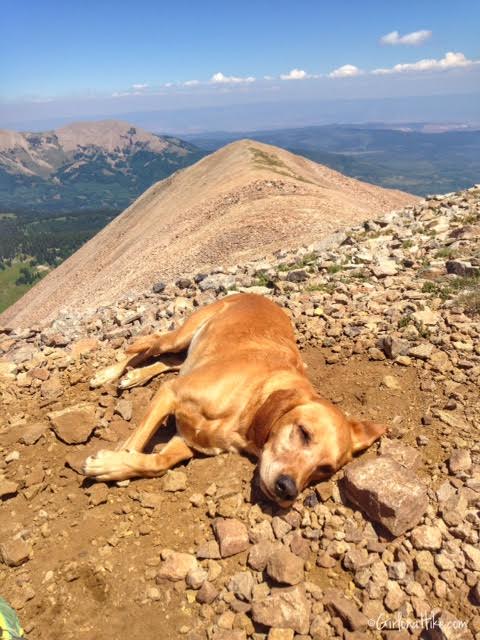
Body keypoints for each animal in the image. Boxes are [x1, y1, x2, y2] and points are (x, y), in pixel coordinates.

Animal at [81, 294, 382, 504]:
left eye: (324, 469)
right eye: (304, 432)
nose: (287, 490)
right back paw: (109, 373)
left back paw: (134, 377)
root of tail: (260, 295)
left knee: (169, 362)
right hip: (181, 336)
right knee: (149, 344)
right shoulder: (170, 393)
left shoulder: (188, 441)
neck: (249, 405)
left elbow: (158, 463)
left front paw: (114, 466)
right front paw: (112, 461)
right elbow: (136, 440)